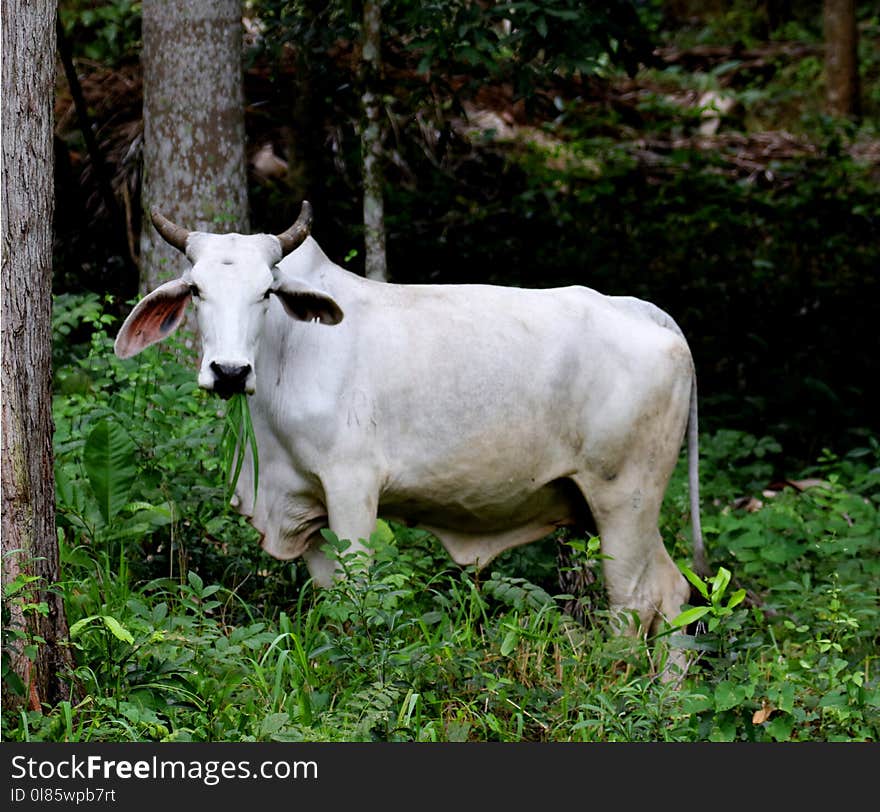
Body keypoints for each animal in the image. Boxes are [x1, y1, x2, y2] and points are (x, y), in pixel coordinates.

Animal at [115, 206, 708, 644]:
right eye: (196, 290)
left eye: (266, 292)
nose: (230, 372)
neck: (287, 355)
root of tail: (645, 311)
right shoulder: (308, 507)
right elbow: (332, 599)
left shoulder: (352, 486)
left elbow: (356, 593)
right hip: (609, 506)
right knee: (674, 592)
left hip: (623, 499)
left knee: (636, 602)